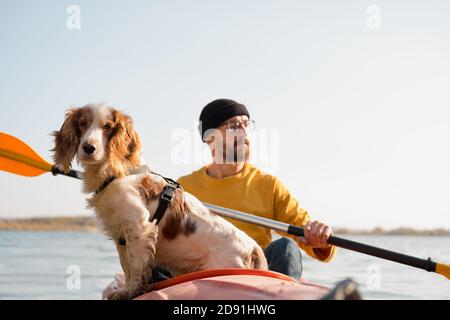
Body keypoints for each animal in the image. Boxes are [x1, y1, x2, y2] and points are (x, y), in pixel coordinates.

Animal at [51, 103, 268, 300]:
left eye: (107, 127)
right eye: (83, 124)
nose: (89, 147)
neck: (115, 172)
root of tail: (253, 249)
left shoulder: (139, 225)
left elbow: (135, 266)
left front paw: (129, 292)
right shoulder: (121, 233)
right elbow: (126, 266)